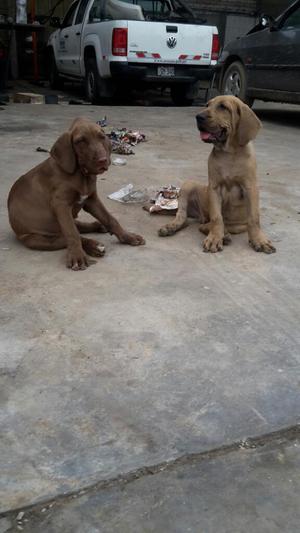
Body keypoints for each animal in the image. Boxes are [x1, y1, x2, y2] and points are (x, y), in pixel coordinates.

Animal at [7, 117, 145, 270]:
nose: (103, 160)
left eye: (102, 137)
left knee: (79, 227)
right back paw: (94, 246)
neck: (81, 174)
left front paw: (128, 237)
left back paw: (99, 226)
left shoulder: (91, 199)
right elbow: (72, 234)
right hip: (35, 239)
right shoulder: (61, 205)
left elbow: (110, 219)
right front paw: (77, 257)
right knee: (67, 236)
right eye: (80, 141)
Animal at [161, 96, 276, 255]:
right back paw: (172, 227)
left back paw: (223, 234)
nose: (198, 117)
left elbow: (254, 218)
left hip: (238, 222)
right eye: (207, 105)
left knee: (217, 225)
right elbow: (217, 217)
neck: (229, 153)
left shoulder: (251, 187)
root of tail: (201, 217)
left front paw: (259, 240)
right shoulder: (214, 188)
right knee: (183, 216)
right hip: (188, 185)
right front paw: (215, 238)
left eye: (223, 107)